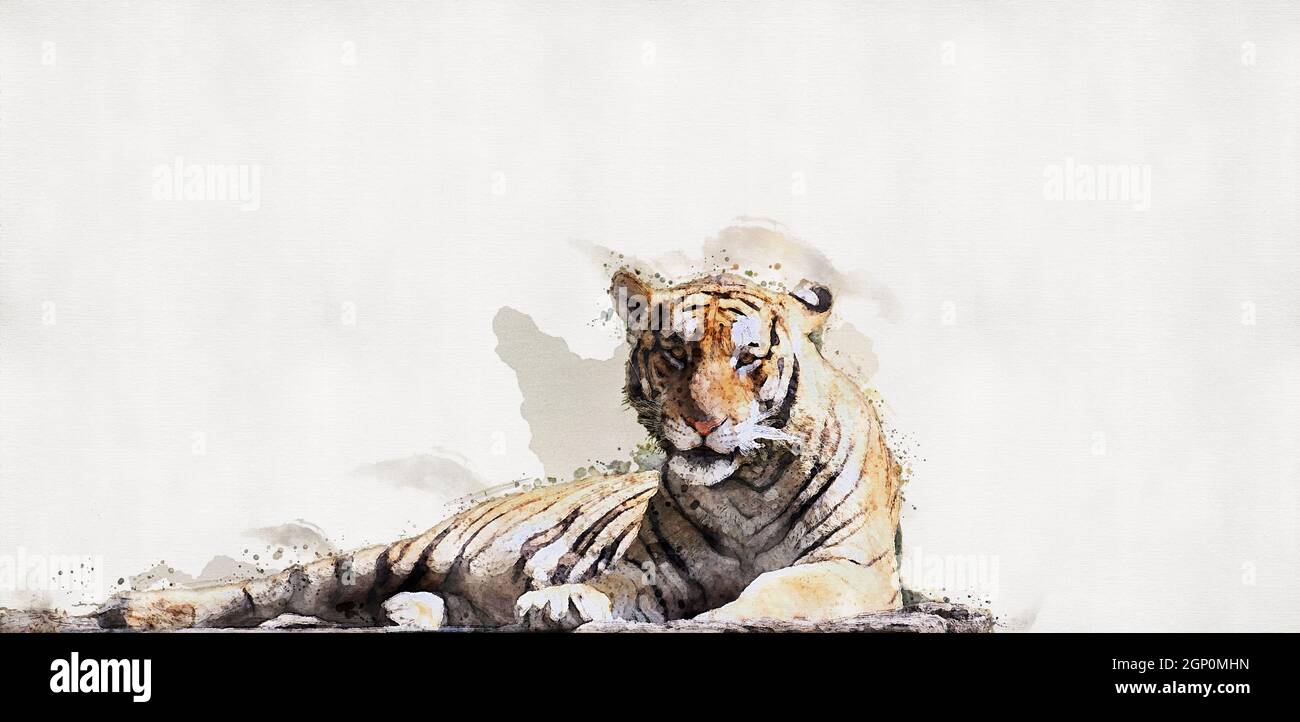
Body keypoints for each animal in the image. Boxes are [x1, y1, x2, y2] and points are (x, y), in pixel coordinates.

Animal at [95, 270, 904, 630]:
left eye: (748, 360)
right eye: (675, 356)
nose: (704, 426)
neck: (743, 484)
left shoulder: (851, 570)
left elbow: (776, 589)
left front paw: (715, 616)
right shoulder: (654, 569)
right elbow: (613, 582)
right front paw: (560, 598)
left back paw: (410, 613)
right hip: (398, 551)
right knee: (286, 590)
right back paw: (135, 609)